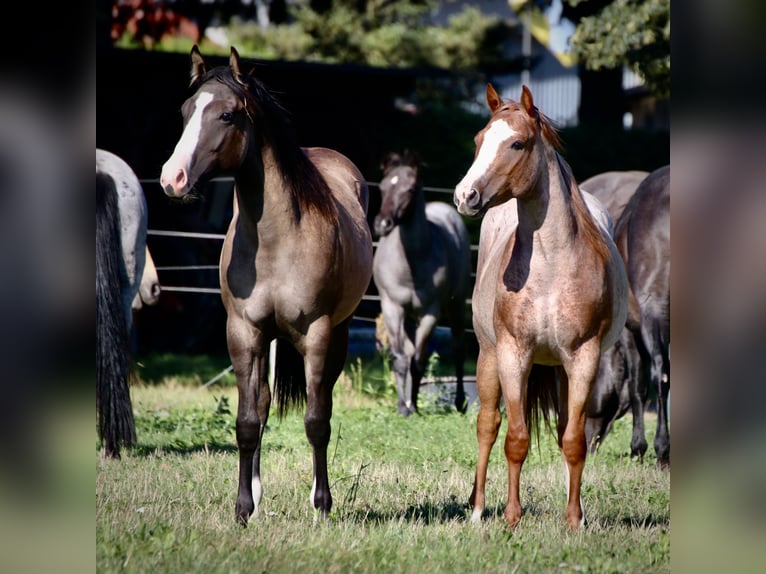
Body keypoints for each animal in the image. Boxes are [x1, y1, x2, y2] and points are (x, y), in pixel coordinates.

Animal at [159, 45, 373, 525]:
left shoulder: (318, 334)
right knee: (263, 404)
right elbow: (247, 421)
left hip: (338, 335)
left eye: (226, 115)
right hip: (268, 339)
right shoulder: (243, 332)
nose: (172, 179)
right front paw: (243, 507)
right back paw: (257, 494)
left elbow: (316, 421)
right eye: (184, 111)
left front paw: (322, 505)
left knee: (322, 403)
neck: (278, 240)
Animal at [372, 151, 471, 416]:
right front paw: (403, 407)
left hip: (456, 304)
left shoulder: (430, 312)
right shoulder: (392, 307)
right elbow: (401, 358)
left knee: (458, 348)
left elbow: (419, 359)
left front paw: (413, 406)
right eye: (383, 187)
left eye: (409, 189)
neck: (409, 266)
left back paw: (460, 403)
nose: (382, 224)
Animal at [453, 84, 629, 529]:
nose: (465, 195)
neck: (551, 265)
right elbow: (515, 438)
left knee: (566, 428)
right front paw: (511, 518)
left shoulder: (583, 360)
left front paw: (574, 519)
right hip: (488, 355)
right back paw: (477, 509)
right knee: (487, 425)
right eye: (478, 140)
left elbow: (574, 441)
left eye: (517, 143)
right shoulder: (514, 354)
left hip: (563, 370)